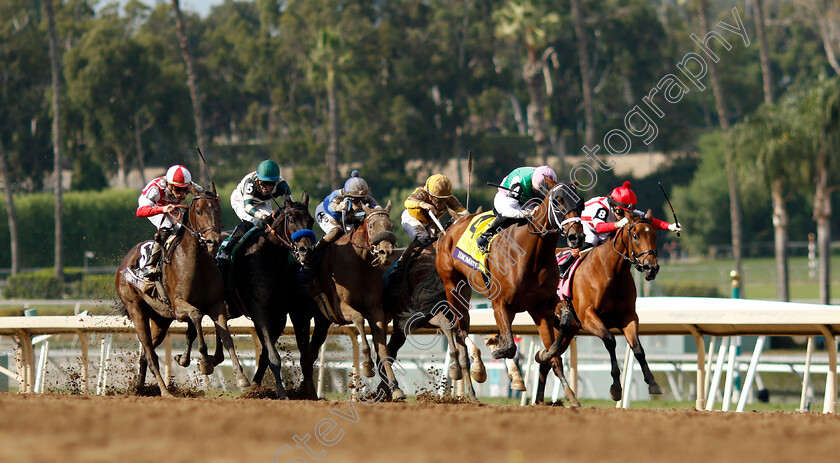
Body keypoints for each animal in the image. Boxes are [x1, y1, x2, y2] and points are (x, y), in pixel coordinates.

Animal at [114, 187, 249, 396]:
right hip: (136, 310)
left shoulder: (216, 304)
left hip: (160, 320)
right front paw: (204, 362)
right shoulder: (178, 307)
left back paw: (139, 387)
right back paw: (165, 391)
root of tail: (124, 263)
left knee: (145, 354)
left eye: (218, 210)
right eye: (199, 211)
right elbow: (196, 315)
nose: (213, 241)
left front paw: (241, 377)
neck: (196, 260)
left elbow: (226, 336)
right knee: (150, 354)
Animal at [220, 194, 318, 400]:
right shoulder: (259, 313)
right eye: (291, 220)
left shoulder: (279, 317)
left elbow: (266, 354)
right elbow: (273, 356)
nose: (306, 250)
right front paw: (281, 392)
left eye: (310, 220)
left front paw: (256, 387)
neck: (269, 259)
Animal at [434, 179, 584, 404]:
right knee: (460, 332)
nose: (576, 237)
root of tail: (451, 227)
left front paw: (570, 395)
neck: (532, 254)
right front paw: (498, 352)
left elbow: (562, 331)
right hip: (452, 287)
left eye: (581, 203)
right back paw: (472, 386)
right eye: (558, 201)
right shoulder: (500, 303)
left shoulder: (542, 305)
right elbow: (510, 346)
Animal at [536, 210, 668, 402]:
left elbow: (638, 349)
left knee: (549, 358)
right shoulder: (588, 317)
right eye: (635, 235)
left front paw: (652, 382)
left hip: (566, 330)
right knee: (553, 358)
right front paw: (616, 387)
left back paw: (540, 399)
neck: (610, 271)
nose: (651, 268)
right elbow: (610, 340)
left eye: (655, 235)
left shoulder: (628, 317)